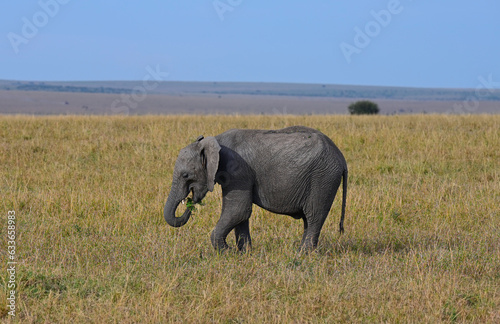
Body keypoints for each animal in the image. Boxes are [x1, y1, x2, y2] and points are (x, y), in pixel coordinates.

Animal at [164, 125, 348, 252]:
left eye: (186, 175)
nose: (190, 201)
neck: (214, 140)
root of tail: (341, 157)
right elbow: (241, 215)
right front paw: (244, 253)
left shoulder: (238, 171)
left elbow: (238, 210)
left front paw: (228, 253)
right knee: (308, 220)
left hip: (323, 178)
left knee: (314, 215)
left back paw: (302, 255)